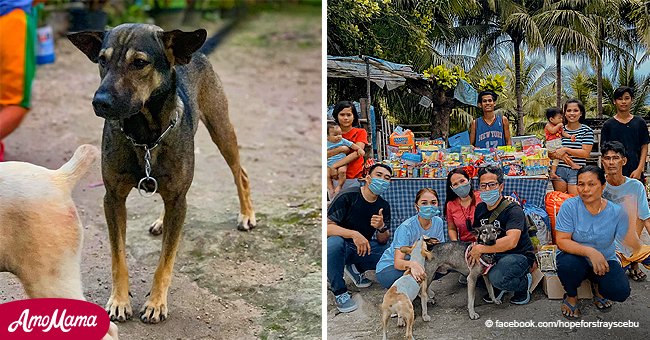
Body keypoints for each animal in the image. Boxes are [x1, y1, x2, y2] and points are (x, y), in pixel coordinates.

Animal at [68, 24, 254, 324]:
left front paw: (156, 303)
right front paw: (119, 300)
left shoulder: (178, 199)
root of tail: (195, 51)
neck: (145, 134)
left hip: (221, 128)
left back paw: (247, 213)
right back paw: (161, 221)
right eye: (102, 60)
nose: (100, 102)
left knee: (241, 173)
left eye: (139, 63)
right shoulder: (113, 198)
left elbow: (165, 261)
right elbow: (118, 257)